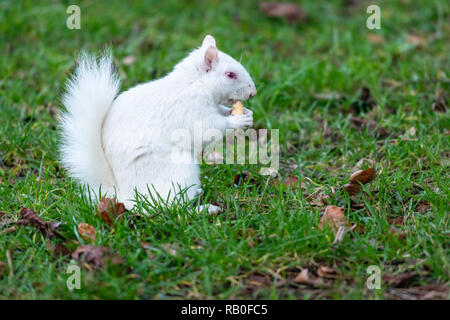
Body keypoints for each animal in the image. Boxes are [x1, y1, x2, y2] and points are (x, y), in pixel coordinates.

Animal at [59, 35, 256, 212]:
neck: (194, 84)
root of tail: (127, 198)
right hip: (179, 171)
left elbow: (221, 111)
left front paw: (246, 113)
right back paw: (205, 209)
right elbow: (208, 128)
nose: (253, 92)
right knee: (174, 208)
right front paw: (237, 120)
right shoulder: (188, 110)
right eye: (230, 75)